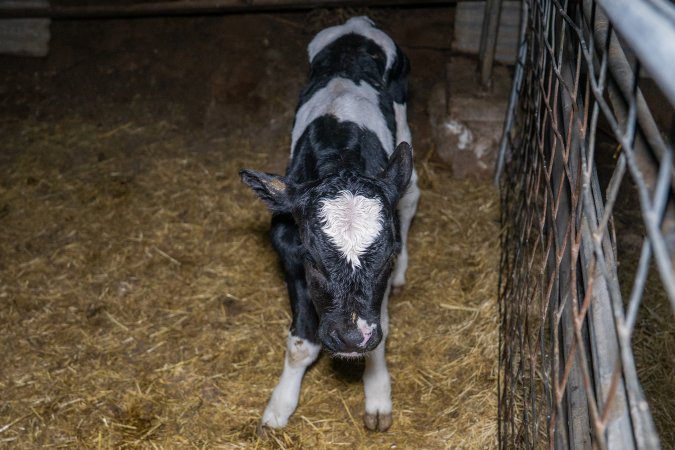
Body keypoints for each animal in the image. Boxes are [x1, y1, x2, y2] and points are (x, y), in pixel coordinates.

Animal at [240, 16, 419, 433]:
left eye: (386, 259)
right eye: (314, 262)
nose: (352, 337)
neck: (341, 157)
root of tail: (358, 23)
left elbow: (382, 331)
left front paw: (378, 396)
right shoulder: (287, 252)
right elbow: (300, 344)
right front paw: (279, 406)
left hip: (404, 129)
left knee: (411, 193)